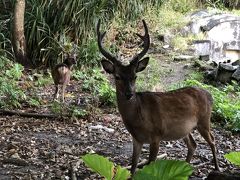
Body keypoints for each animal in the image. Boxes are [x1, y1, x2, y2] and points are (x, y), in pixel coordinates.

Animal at [97, 19, 219, 174]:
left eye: (135, 76)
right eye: (117, 76)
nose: (129, 94)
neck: (138, 118)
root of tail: (209, 95)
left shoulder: (157, 135)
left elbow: (150, 164)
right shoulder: (136, 139)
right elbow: (133, 165)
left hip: (204, 120)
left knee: (213, 140)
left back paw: (216, 167)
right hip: (186, 129)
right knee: (193, 144)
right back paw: (184, 168)